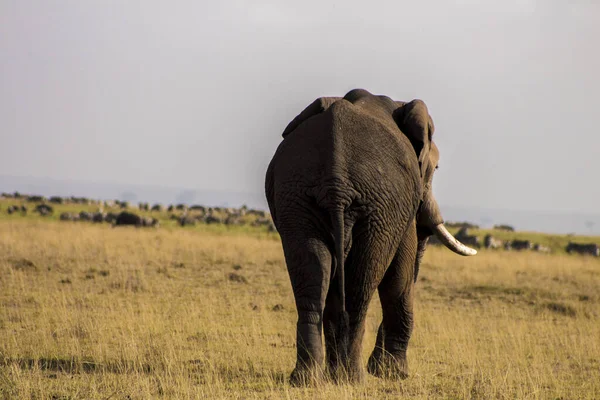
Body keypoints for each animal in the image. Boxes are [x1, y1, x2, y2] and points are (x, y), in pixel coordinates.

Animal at [264, 89, 476, 386]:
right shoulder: (400, 212)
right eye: (434, 169)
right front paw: (394, 374)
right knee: (361, 284)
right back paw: (352, 378)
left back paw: (309, 379)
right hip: (377, 209)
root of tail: (337, 183)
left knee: (311, 273)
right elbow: (399, 274)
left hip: (295, 196)